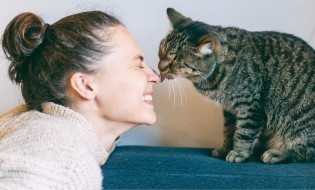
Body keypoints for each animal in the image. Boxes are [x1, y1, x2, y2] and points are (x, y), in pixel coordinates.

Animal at [159, 8, 315, 164]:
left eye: (174, 61)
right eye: (160, 52)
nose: (160, 68)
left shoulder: (249, 106)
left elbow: (244, 132)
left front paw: (239, 152)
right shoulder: (230, 110)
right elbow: (229, 130)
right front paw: (225, 149)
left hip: (299, 124)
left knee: (304, 151)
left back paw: (276, 153)